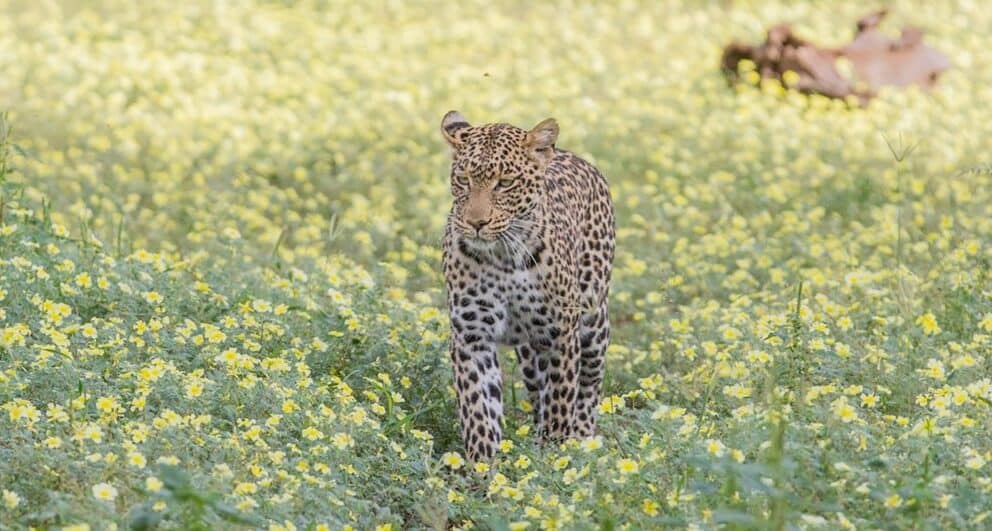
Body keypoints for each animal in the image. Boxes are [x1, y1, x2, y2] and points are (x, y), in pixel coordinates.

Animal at [440, 110, 616, 462]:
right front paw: (483, 468)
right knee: (537, 392)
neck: (502, 257)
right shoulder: (472, 337)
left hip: (593, 321)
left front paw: (556, 457)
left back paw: (583, 440)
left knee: (588, 385)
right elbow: (478, 410)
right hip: (529, 354)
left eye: (505, 183)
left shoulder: (561, 334)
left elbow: (561, 402)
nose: (476, 223)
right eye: (463, 180)